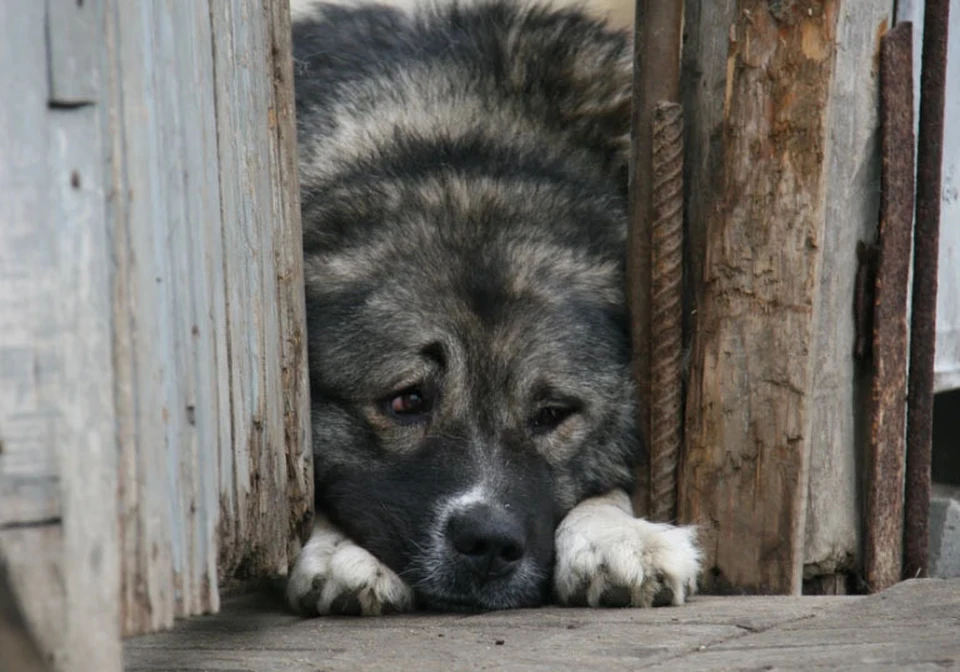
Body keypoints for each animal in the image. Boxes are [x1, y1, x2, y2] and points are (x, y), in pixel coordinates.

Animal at [284, 0, 696, 616]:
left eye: (551, 414)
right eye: (407, 400)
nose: (489, 542)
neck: (456, 145)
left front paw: (615, 534)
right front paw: (338, 551)